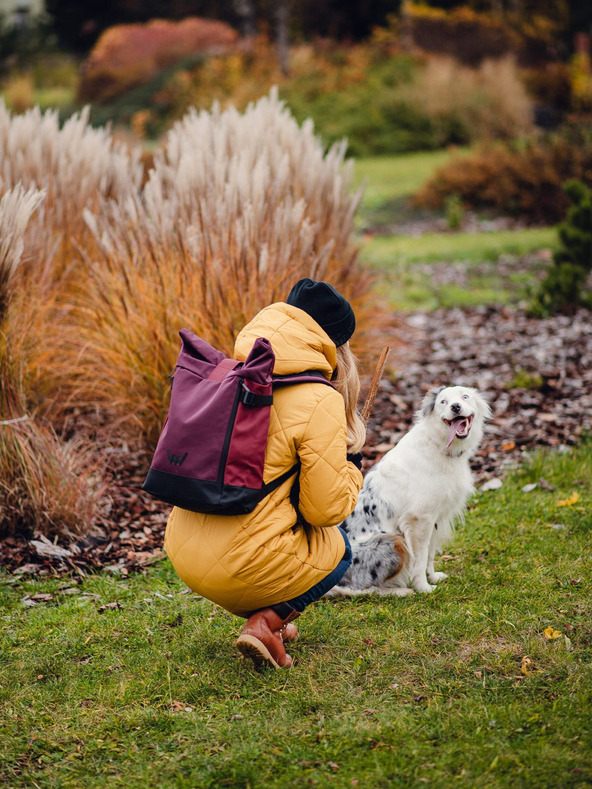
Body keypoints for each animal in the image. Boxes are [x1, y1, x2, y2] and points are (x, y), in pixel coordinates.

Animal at [328, 384, 490, 596]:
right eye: (443, 402)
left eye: (465, 397)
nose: (455, 406)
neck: (438, 444)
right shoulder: (418, 519)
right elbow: (419, 559)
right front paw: (423, 587)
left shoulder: (433, 517)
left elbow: (429, 553)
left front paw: (432, 577)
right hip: (393, 541)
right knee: (364, 589)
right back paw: (400, 591)